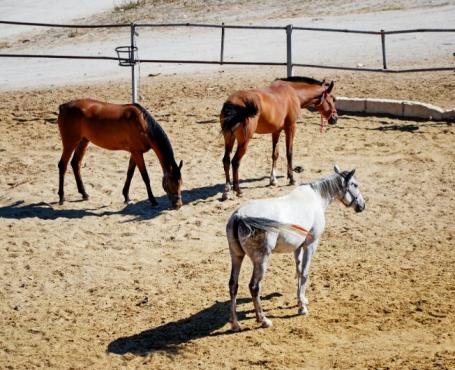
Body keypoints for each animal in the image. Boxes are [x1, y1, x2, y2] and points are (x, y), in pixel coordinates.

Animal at [227, 166, 366, 330]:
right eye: (355, 185)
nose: (362, 205)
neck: (316, 198)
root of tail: (240, 216)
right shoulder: (310, 244)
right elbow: (305, 273)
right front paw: (302, 308)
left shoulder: (297, 247)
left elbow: (298, 271)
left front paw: (302, 299)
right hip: (261, 260)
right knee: (254, 287)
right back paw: (264, 320)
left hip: (236, 256)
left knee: (233, 285)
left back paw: (235, 323)